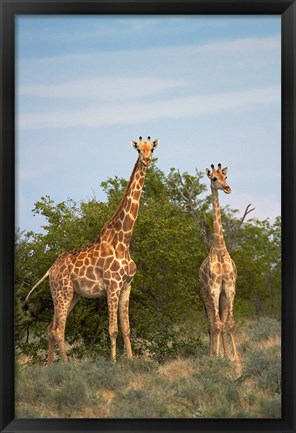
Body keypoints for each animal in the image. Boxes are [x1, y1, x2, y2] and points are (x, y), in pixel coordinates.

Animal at [25, 137, 160, 362]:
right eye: (139, 150)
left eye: (152, 149)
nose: (147, 160)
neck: (124, 240)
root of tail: (50, 270)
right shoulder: (112, 286)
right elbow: (113, 329)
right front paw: (113, 362)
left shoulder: (127, 286)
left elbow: (127, 329)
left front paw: (131, 361)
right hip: (62, 292)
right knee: (58, 329)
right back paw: (66, 365)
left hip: (72, 294)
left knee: (50, 328)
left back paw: (50, 365)